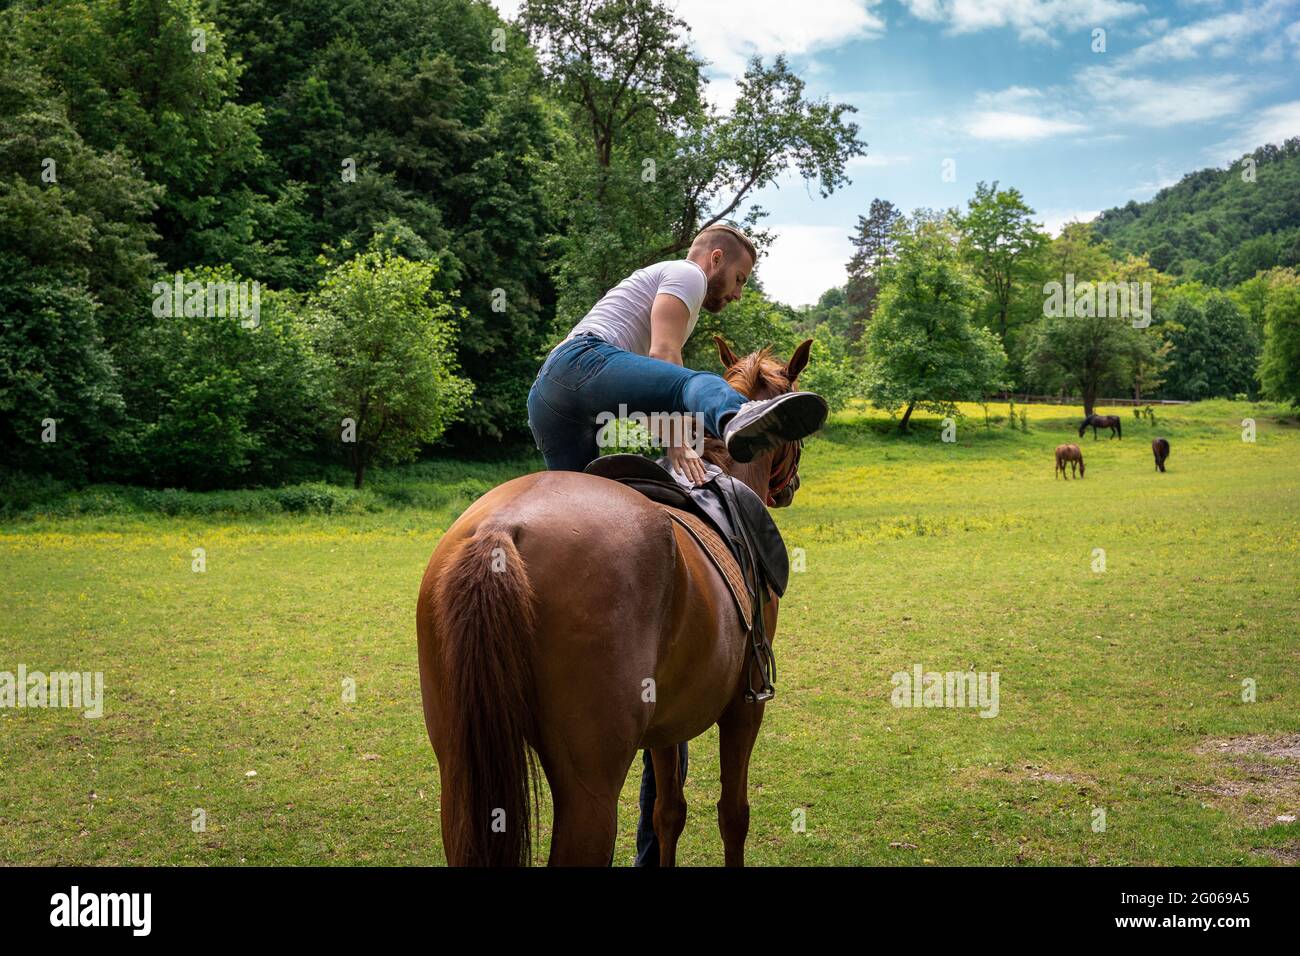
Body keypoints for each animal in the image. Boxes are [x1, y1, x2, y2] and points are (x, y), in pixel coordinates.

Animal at [416, 335, 816, 868]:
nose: (790, 487)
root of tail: (501, 529)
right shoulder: (744, 705)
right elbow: (733, 814)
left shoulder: (667, 722)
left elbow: (668, 812)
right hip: (590, 788)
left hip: (458, 768)